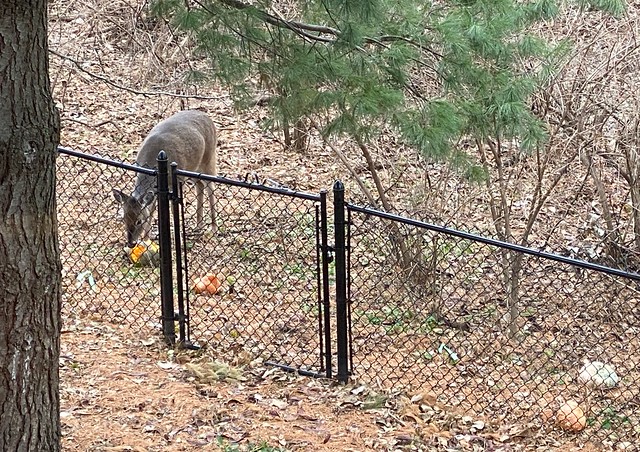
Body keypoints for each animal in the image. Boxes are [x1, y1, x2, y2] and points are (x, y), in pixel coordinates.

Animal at [113, 110, 217, 247]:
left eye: (139, 221)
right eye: (124, 218)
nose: (131, 243)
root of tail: (208, 118)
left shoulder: (176, 181)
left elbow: (173, 210)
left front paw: (179, 240)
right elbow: (151, 209)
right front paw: (146, 239)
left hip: (209, 158)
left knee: (211, 187)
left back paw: (213, 228)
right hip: (192, 167)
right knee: (199, 185)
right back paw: (198, 225)